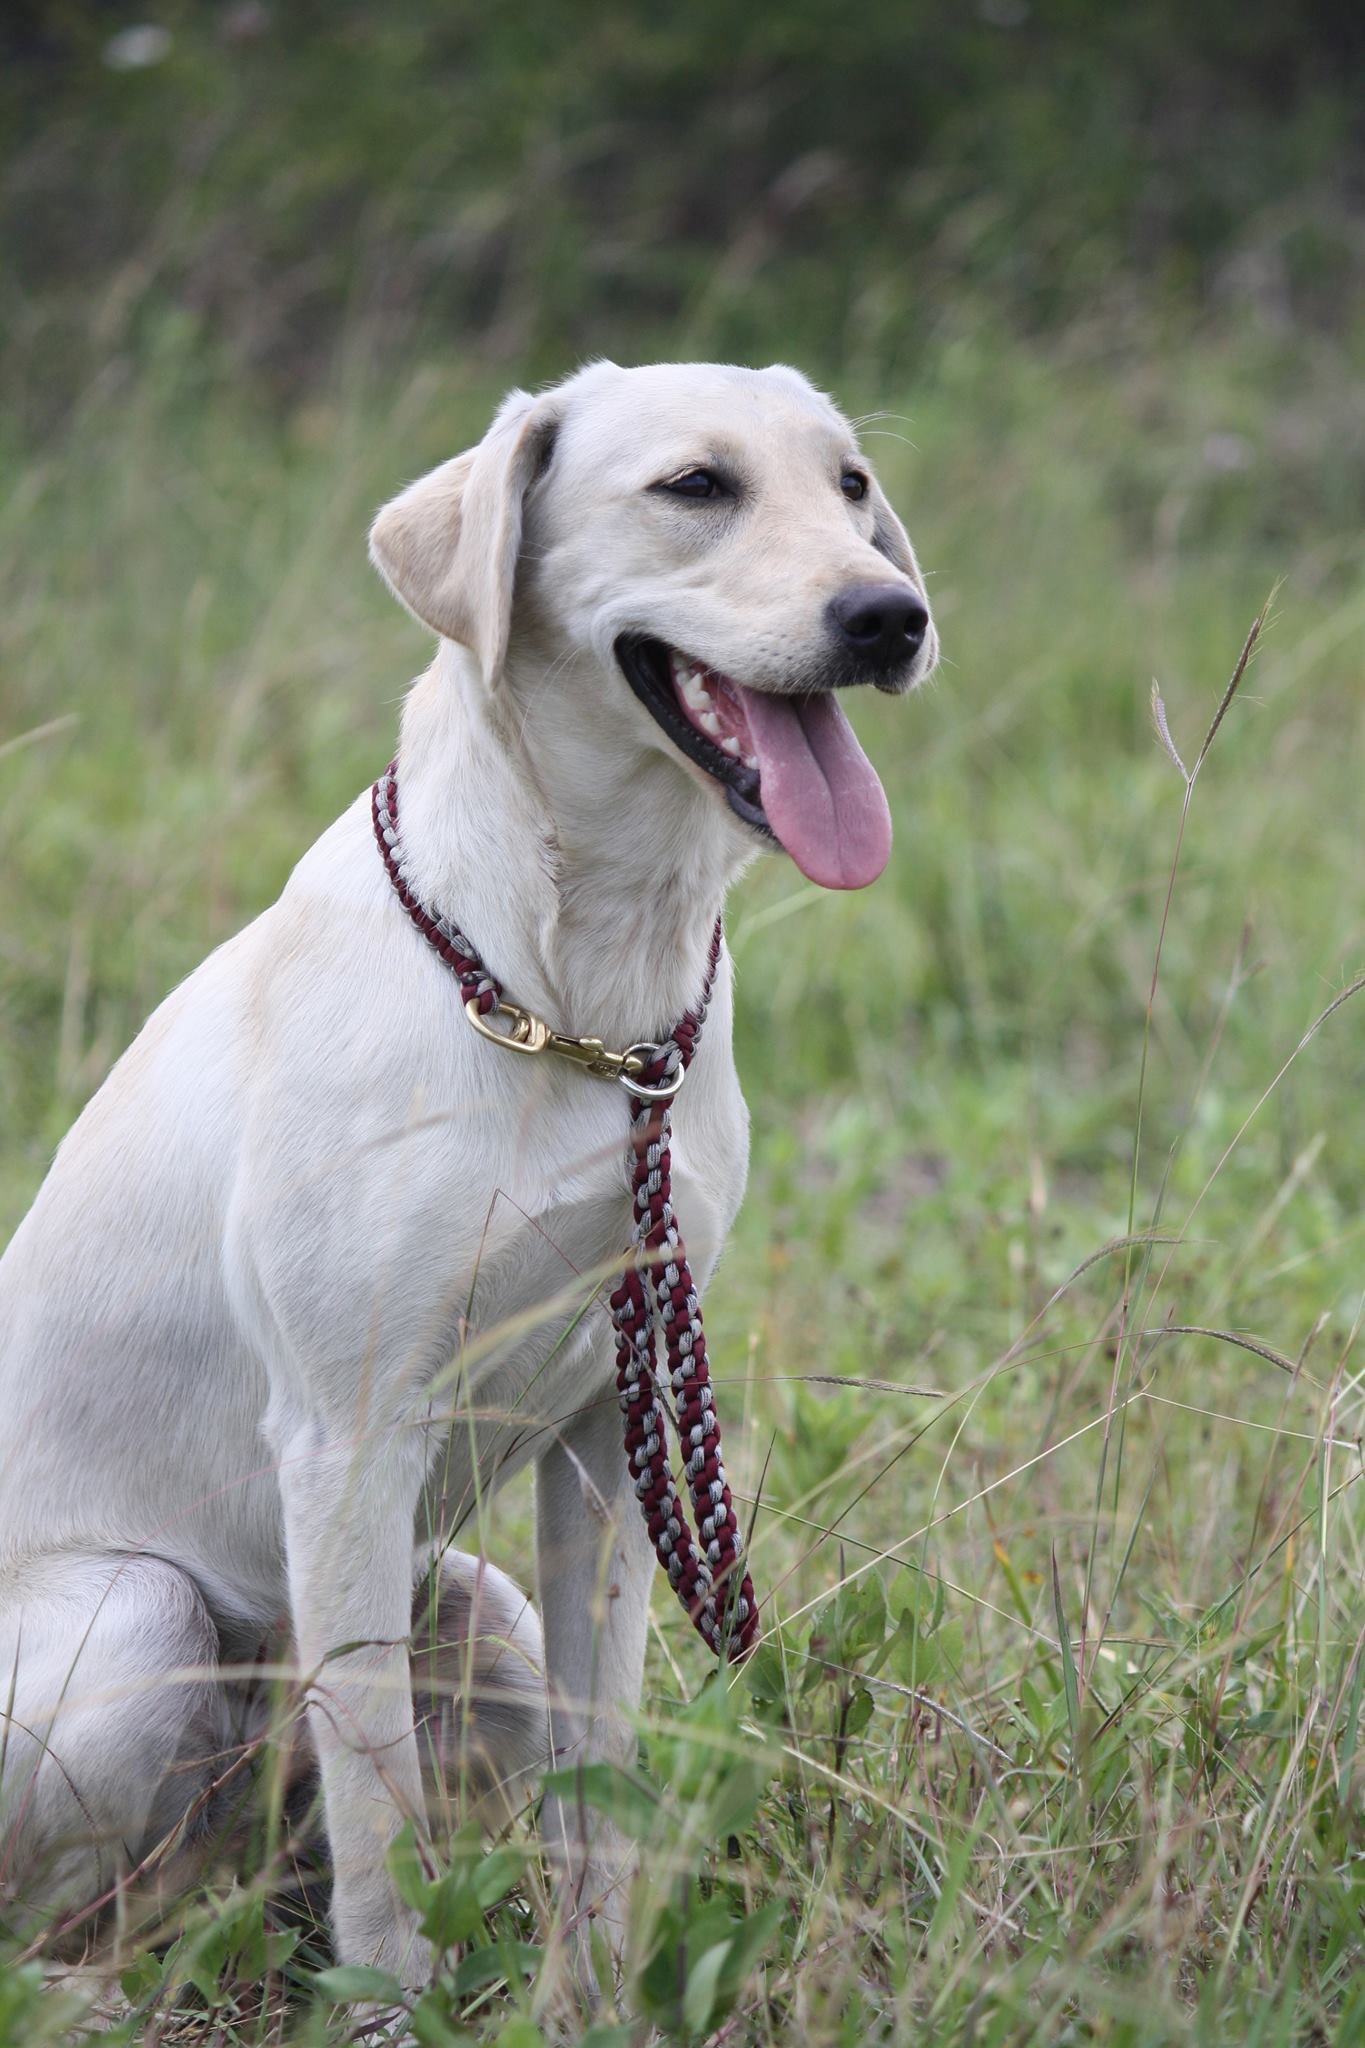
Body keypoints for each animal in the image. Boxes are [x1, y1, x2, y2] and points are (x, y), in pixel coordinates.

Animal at [0, 360, 933, 1974]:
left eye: (853, 485)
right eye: (697, 487)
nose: (891, 616)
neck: (572, 1000)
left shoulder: (614, 1435)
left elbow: (596, 1776)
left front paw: (603, 1987)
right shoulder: (350, 1440)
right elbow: (381, 1819)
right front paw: (393, 2002)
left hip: (475, 1612)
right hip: (137, 1621)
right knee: (94, 1904)